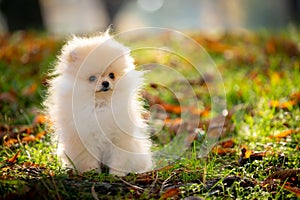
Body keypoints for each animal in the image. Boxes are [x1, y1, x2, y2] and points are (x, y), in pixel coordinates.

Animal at [45, 30, 154, 175]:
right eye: (92, 78)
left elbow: (119, 158)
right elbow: (88, 159)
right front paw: (91, 172)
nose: (105, 83)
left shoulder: (119, 137)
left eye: (112, 75)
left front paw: (116, 174)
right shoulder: (85, 138)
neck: (100, 104)